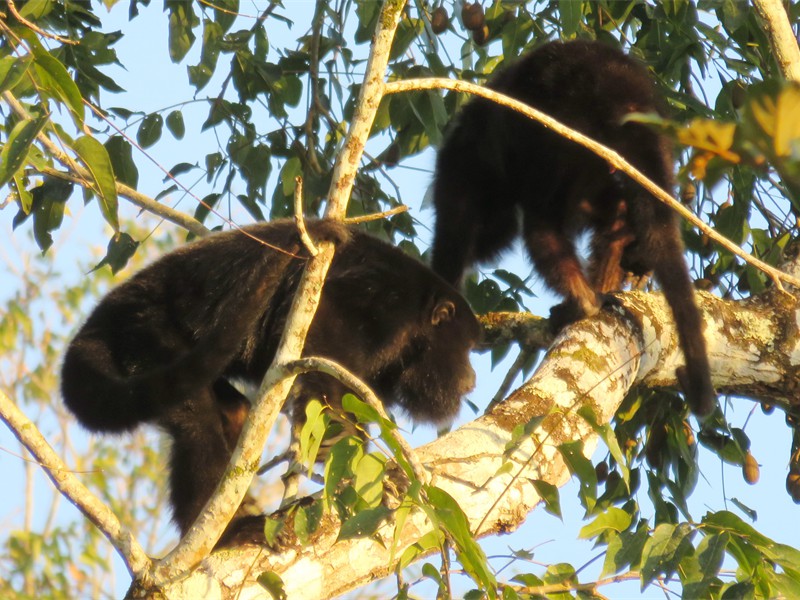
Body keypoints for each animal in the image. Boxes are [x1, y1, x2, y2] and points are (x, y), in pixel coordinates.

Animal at [61, 219, 480, 542]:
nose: (472, 377)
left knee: (235, 411)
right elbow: (323, 326)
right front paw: (343, 443)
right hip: (147, 335)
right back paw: (227, 532)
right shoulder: (382, 300)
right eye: (467, 348)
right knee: (196, 422)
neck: (415, 321)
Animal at [430, 39, 715, 417]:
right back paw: (610, 274)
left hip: (567, 136)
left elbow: (453, 235)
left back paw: (583, 302)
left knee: (542, 223)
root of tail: (624, 95)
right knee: (614, 211)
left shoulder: (459, 170)